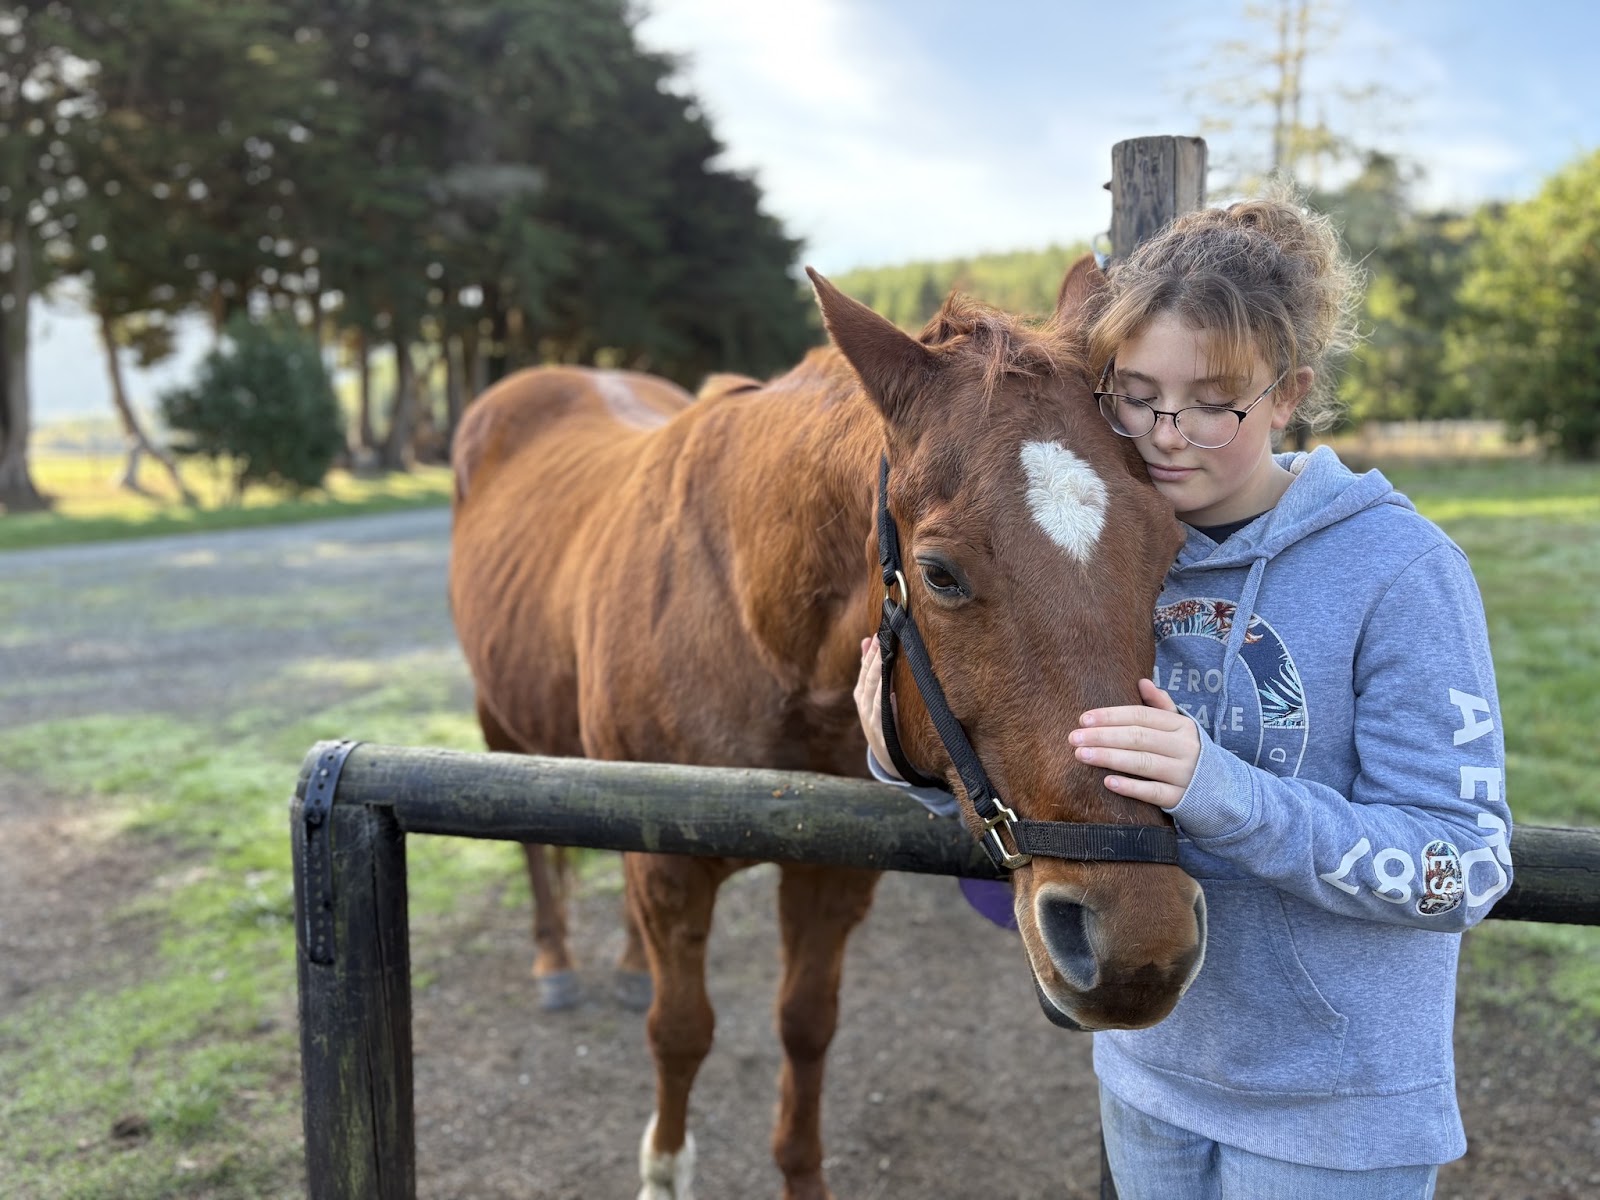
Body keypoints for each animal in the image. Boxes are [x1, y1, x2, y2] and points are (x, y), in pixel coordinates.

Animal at [447, 258, 1205, 1200]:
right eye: (939, 573)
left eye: (1168, 547)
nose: (1141, 946)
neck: (750, 614)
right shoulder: (670, 869)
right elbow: (680, 1030)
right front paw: (664, 1169)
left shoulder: (831, 871)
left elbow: (806, 1024)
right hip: (501, 727)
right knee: (535, 853)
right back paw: (556, 961)